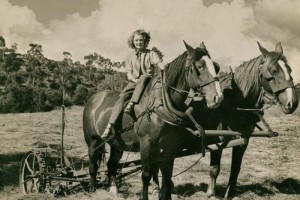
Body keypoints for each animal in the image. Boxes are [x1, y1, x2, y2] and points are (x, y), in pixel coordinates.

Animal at [83, 41, 224, 199]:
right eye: (200, 66)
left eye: (216, 67)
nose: (218, 98)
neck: (160, 105)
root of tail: (94, 98)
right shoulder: (146, 143)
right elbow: (146, 174)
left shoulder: (170, 147)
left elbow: (167, 174)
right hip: (93, 141)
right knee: (93, 165)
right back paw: (92, 189)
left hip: (117, 144)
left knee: (111, 164)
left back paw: (113, 189)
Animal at [192, 41, 298, 198]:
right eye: (273, 70)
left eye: (289, 69)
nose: (293, 103)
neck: (235, 103)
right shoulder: (216, 140)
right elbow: (214, 168)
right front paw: (211, 193)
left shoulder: (243, 140)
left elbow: (236, 167)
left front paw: (230, 193)